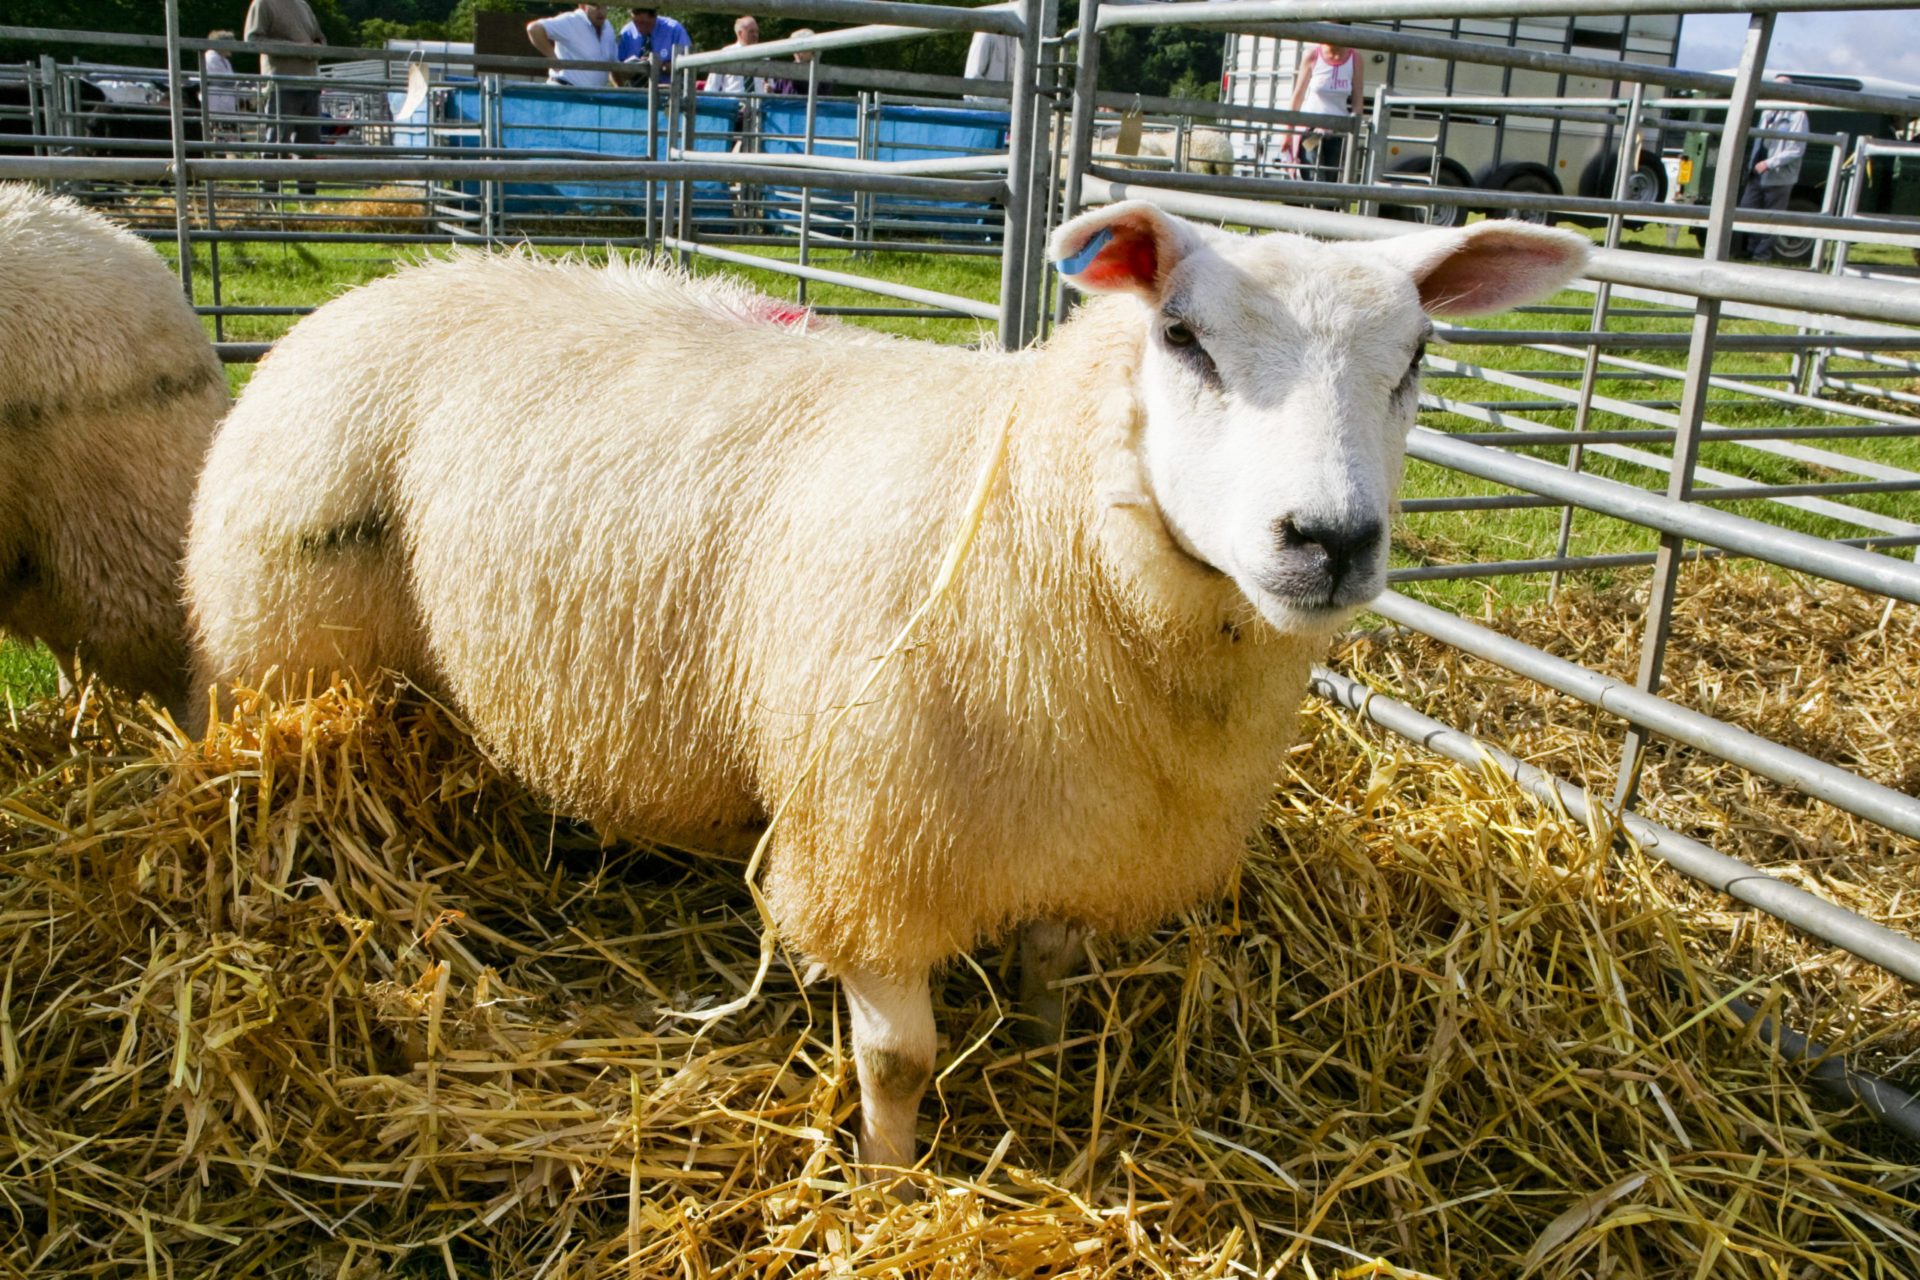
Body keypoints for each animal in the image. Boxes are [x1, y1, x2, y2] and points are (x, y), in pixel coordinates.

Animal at [183, 205, 1589, 1174]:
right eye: (1182, 335)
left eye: (1416, 355)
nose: (1330, 540)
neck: (1045, 514)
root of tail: (404, 274)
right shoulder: (874, 843)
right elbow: (901, 1056)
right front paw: (892, 1177)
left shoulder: (1076, 824)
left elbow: (1052, 972)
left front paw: (1048, 1056)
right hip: (279, 647)